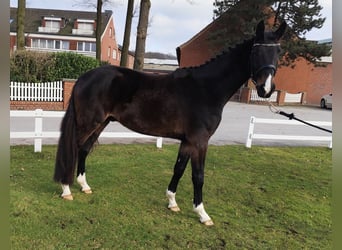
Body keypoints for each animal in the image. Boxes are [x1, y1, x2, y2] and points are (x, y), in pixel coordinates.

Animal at [54, 20, 288, 226]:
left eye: (278, 53)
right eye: (256, 52)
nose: (266, 89)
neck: (206, 88)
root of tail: (83, 78)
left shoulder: (187, 141)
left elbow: (179, 169)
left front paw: (172, 202)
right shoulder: (200, 141)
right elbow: (198, 176)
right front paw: (202, 214)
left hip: (101, 123)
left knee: (83, 150)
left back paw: (84, 186)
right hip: (88, 123)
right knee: (73, 149)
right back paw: (66, 190)